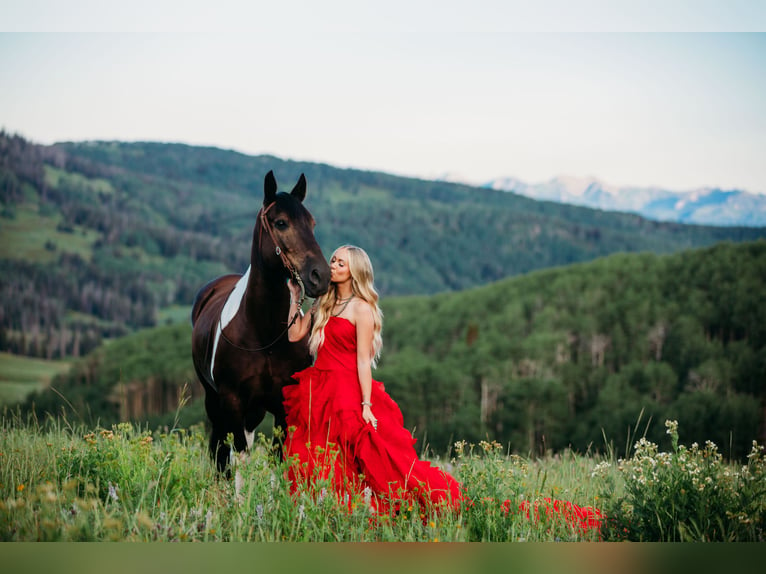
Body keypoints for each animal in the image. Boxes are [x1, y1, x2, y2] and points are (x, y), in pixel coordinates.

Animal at [191, 171, 330, 472]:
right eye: (281, 223)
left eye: (312, 223)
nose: (321, 276)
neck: (264, 334)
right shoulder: (231, 401)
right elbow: (239, 457)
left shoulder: (283, 404)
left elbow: (278, 458)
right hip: (214, 400)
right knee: (220, 450)